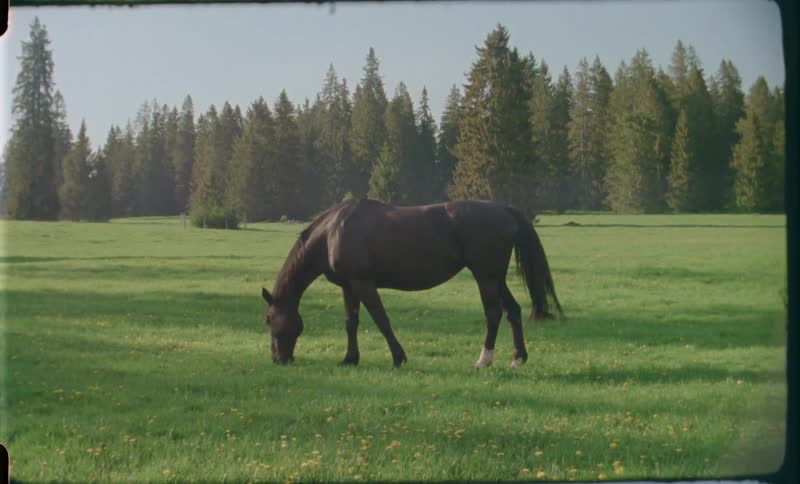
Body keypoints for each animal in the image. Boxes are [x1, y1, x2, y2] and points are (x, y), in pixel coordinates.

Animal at [261, 198, 562, 368]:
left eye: (268, 319)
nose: (279, 359)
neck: (332, 233)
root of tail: (504, 209)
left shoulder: (363, 283)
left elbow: (381, 319)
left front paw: (398, 358)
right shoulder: (349, 286)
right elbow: (351, 322)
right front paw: (350, 359)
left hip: (485, 276)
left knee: (494, 313)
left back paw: (484, 360)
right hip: (496, 277)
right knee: (513, 311)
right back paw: (518, 357)